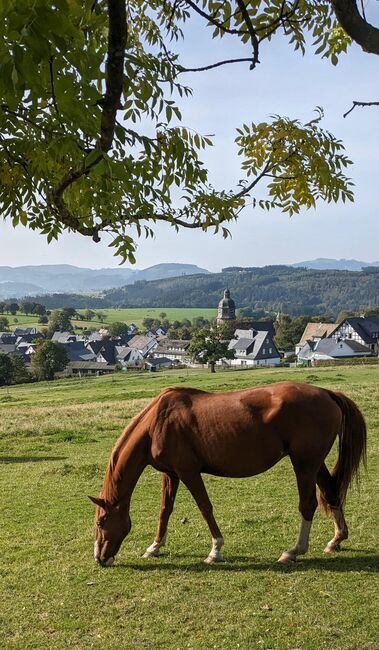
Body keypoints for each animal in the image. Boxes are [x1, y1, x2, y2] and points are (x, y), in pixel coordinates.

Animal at [90, 382, 368, 564]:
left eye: (101, 522)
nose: (100, 558)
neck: (157, 422)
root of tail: (327, 393)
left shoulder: (189, 472)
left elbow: (205, 507)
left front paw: (215, 550)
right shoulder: (171, 474)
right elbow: (165, 510)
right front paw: (155, 547)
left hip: (304, 463)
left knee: (308, 504)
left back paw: (294, 551)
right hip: (314, 463)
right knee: (331, 493)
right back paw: (336, 540)